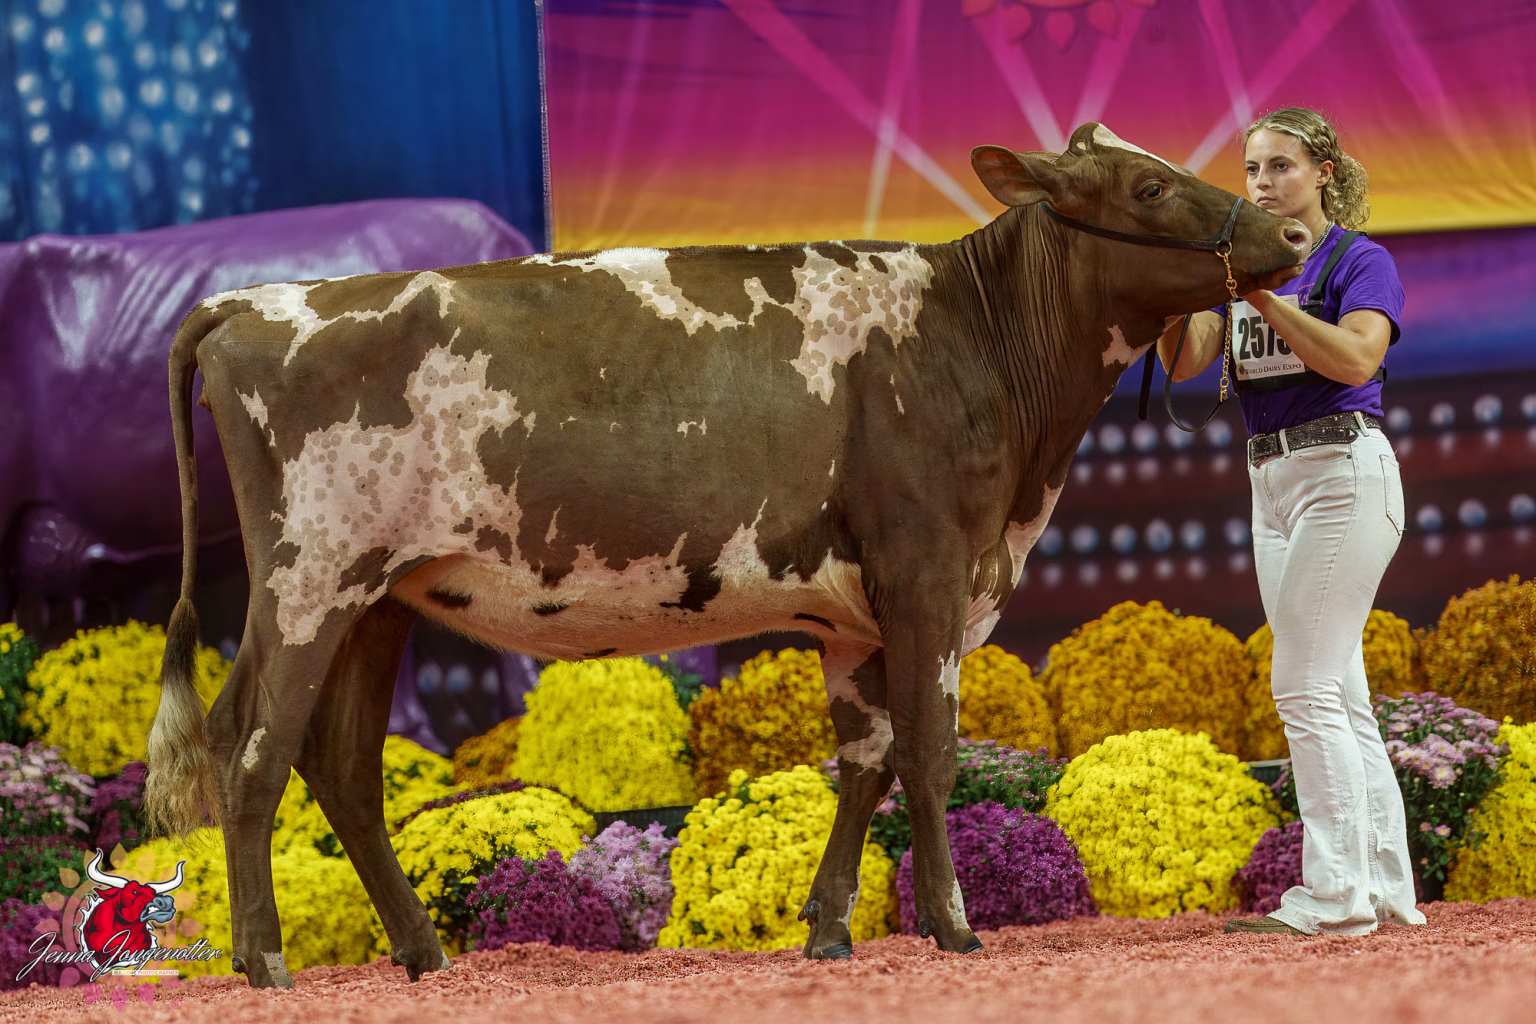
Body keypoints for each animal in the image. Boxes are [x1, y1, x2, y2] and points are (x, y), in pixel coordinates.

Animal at [144, 123, 1308, 988]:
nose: (1293, 234)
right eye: (1149, 188)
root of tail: (255, 300)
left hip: (376, 598)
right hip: (306, 581)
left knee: (341, 764)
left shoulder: (856, 611)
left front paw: (829, 927)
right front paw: (953, 924)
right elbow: (929, 753)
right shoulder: (927, 568)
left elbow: (865, 757)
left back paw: (424, 954)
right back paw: (263, 958)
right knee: (249, 748)